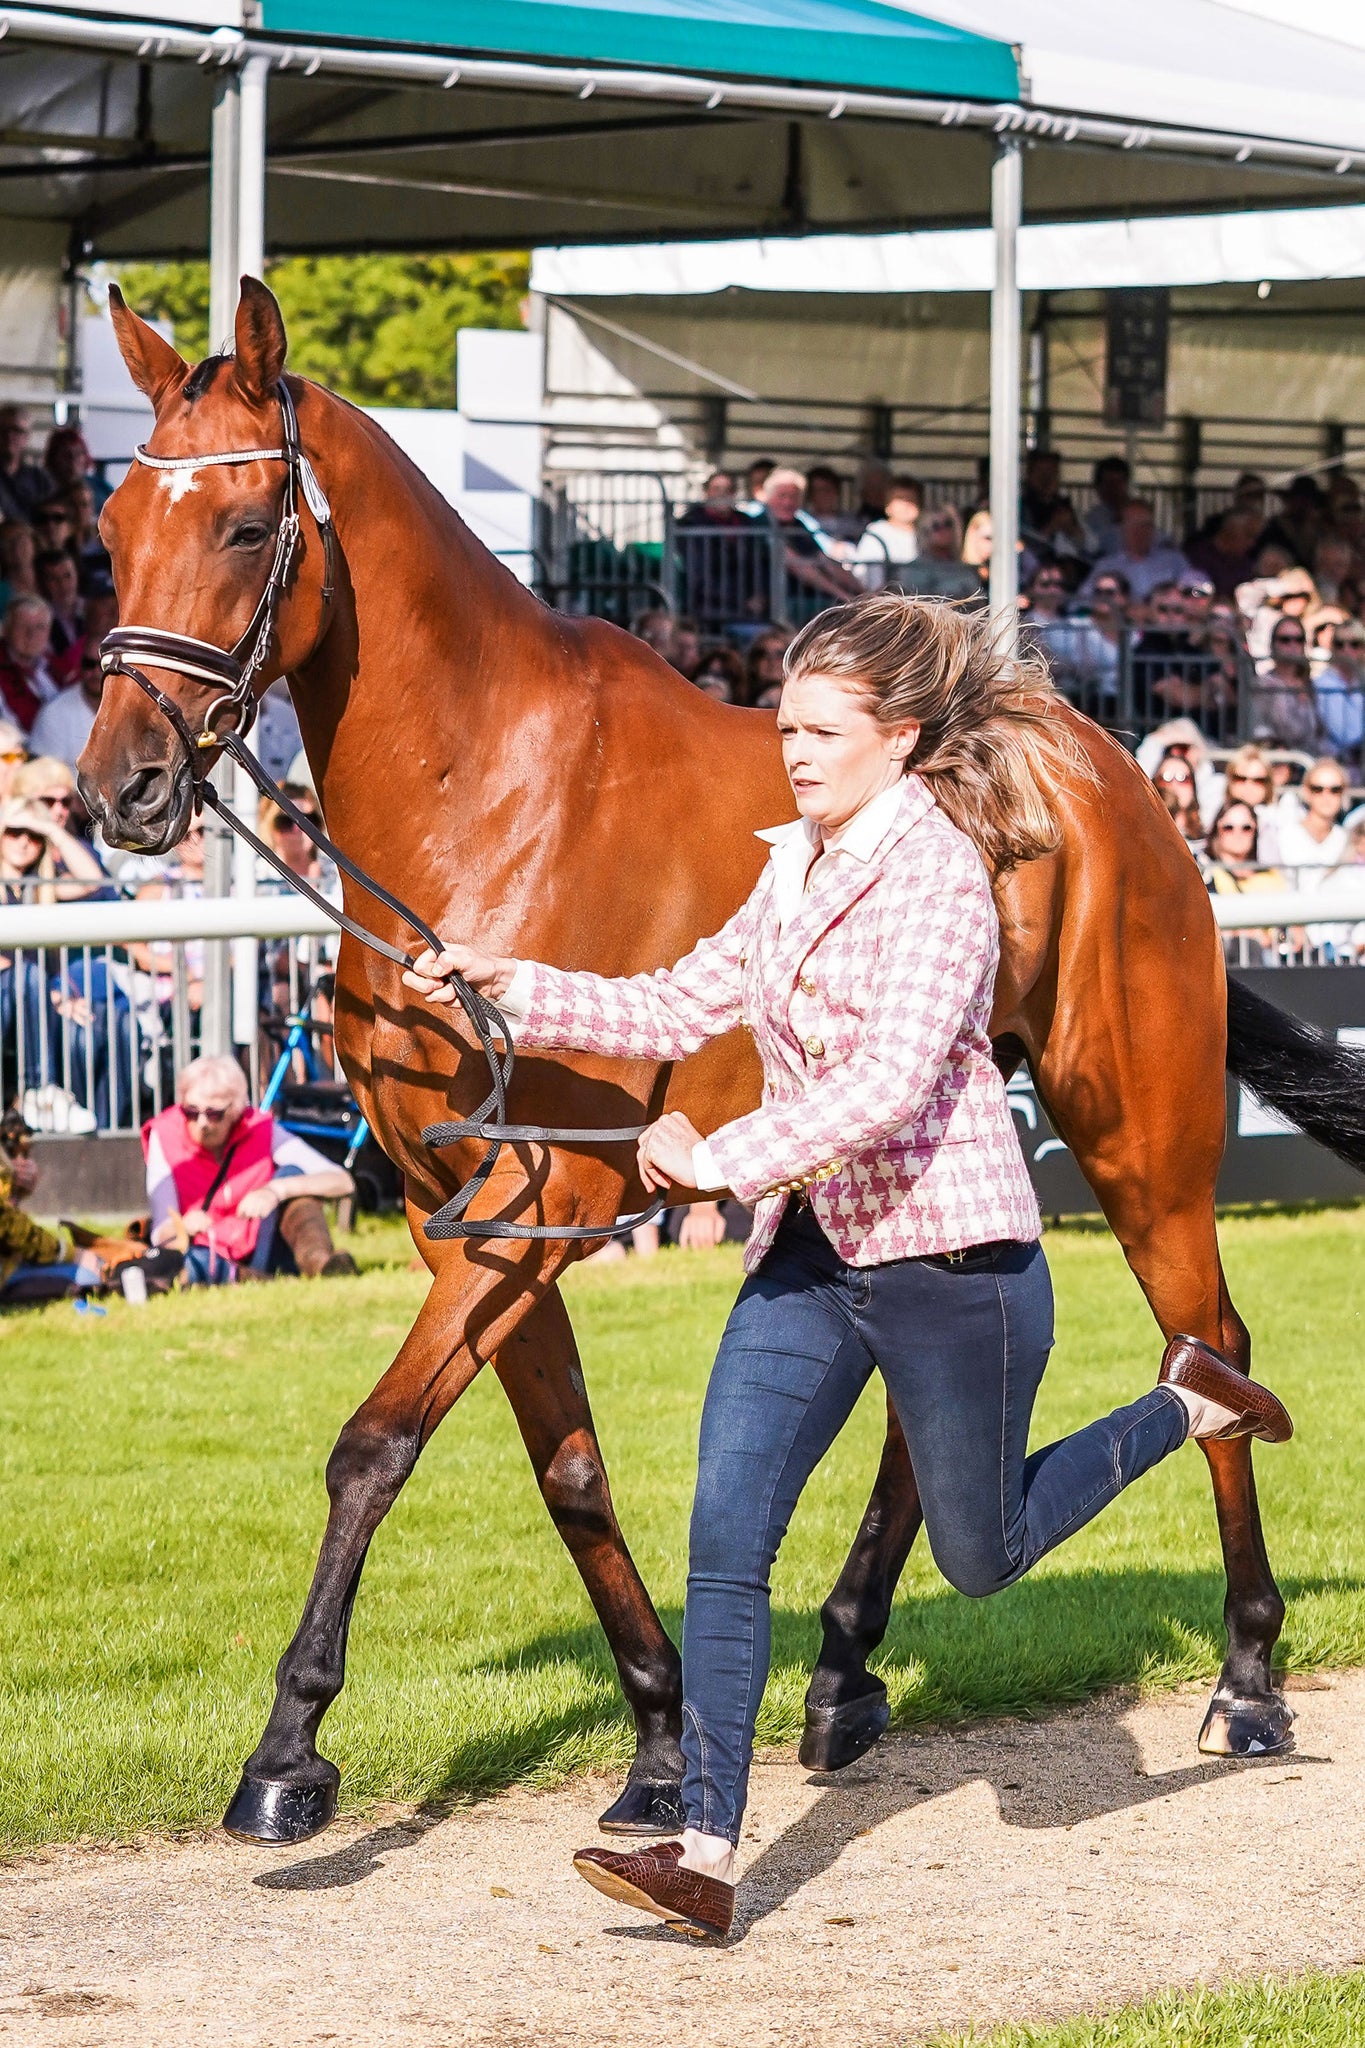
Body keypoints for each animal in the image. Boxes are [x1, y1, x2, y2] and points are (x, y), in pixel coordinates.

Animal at [80, 280, 1358, 1851]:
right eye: (112, 524)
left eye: (247, 524)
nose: (121, 787)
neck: (485, 794)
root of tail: (1115, 777)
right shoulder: (474, 1209)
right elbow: (569, 1471)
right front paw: (656, 1736)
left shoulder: (544, 1195)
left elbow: (373, 1444)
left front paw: (287, 1748)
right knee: (937, 1408)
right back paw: (846, 1666)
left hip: (1138, 1135)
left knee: (1208, 1342)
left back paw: (1247, 1675)